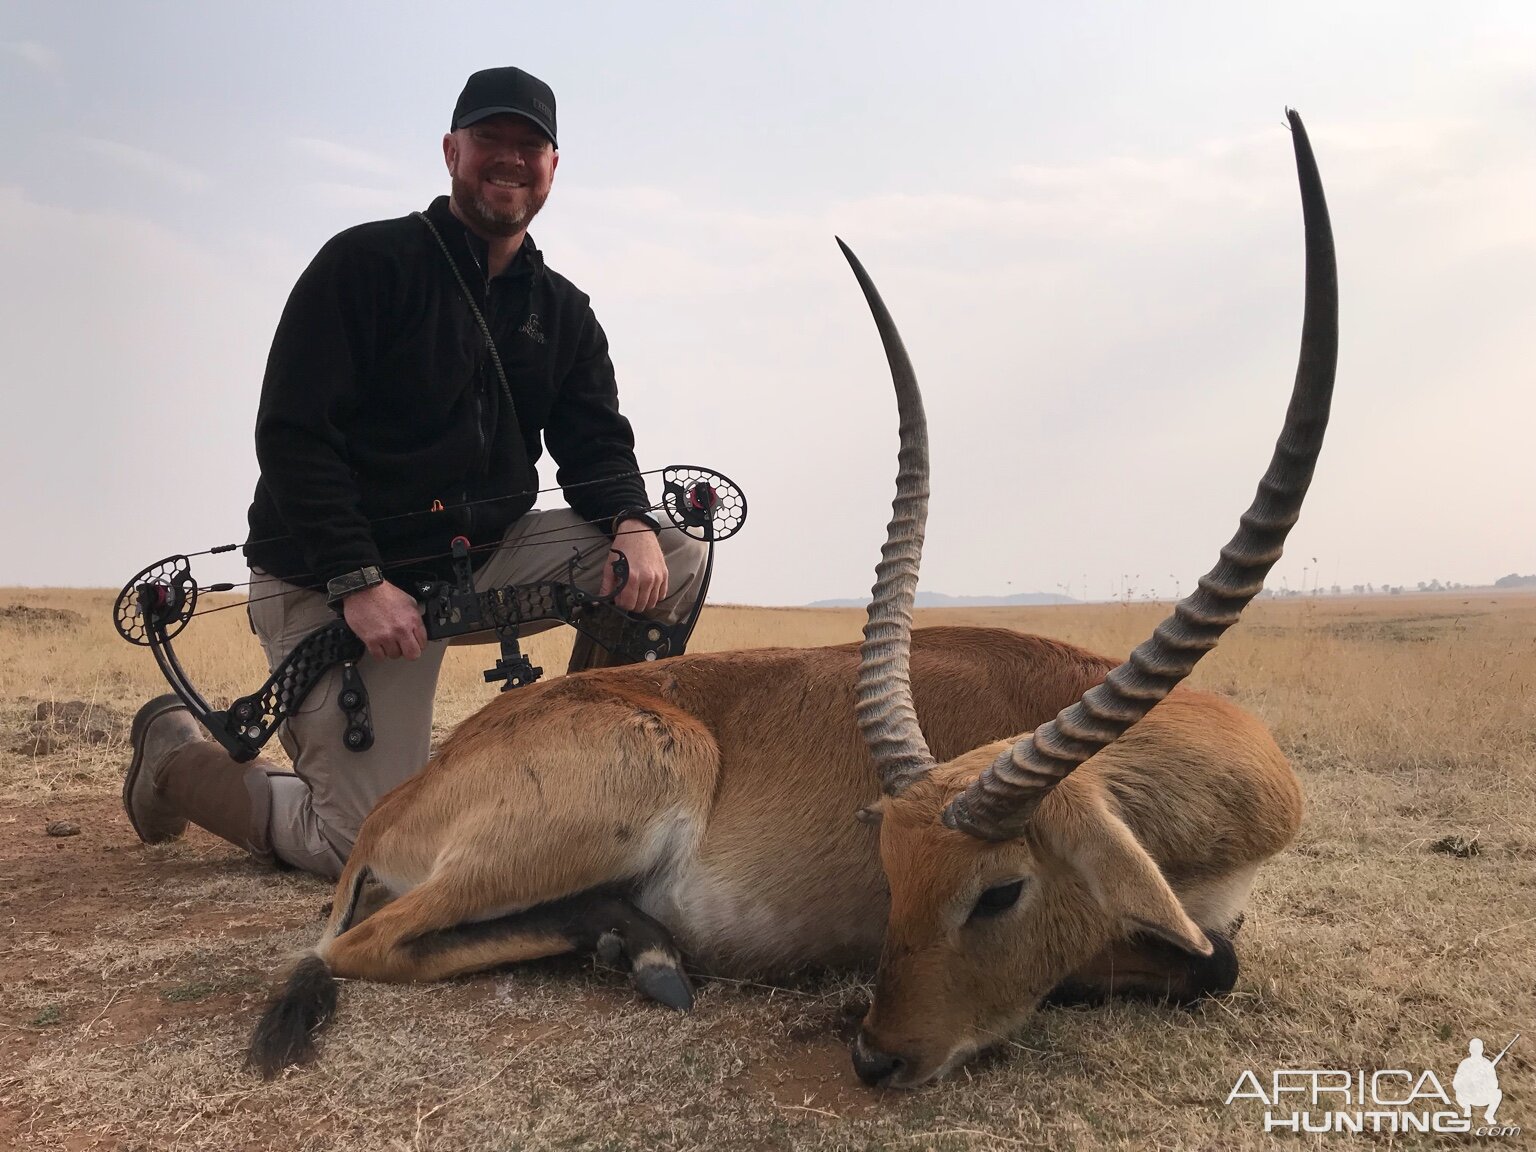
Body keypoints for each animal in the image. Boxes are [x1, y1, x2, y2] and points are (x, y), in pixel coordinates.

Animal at [248, 110, 1333, 1093]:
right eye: (895, 873)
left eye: (997, 893)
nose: (875, 1057)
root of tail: (406, 795)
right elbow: (1211, 962)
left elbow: (1216, 954)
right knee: (357, 947)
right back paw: (643, 952)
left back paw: (635, 948)